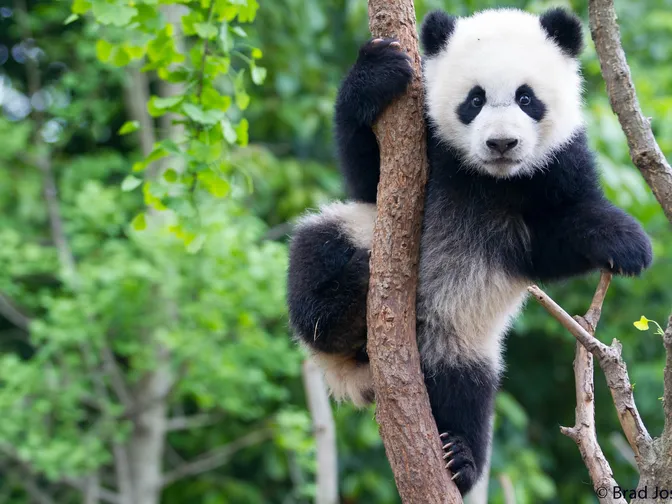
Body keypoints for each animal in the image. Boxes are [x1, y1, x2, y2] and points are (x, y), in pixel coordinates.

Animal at [287, 7, 652, 496]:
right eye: (474, 100)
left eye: (526, 98)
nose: (501, 144)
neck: (489, 179)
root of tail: (357, 367)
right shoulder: (422, 147)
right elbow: (366, 175)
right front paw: (377, 70)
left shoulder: (557, 165)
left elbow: (555, 239)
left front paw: (628, 243)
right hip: (350, 233)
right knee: (313, 260)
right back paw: (346, 303)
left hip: (462, 340)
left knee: (466, 391)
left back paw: (459, 459)